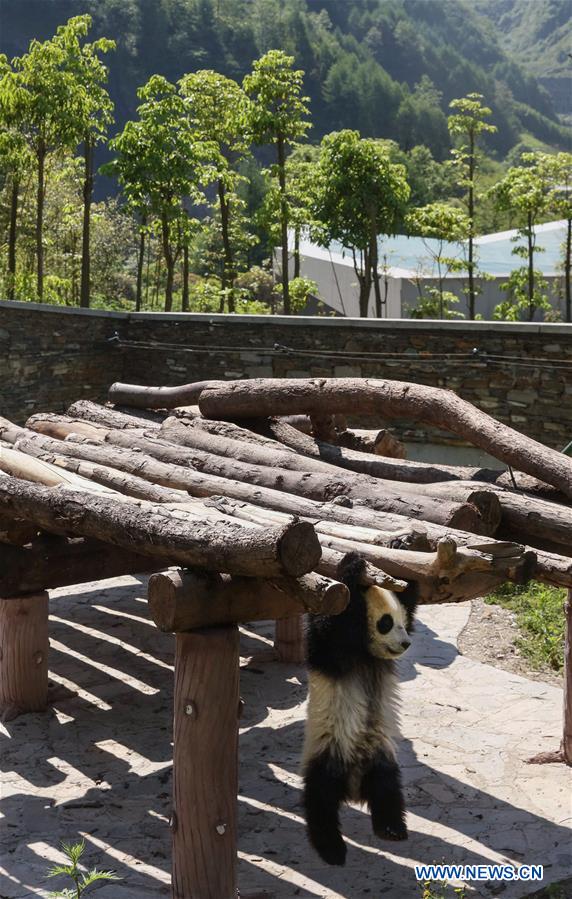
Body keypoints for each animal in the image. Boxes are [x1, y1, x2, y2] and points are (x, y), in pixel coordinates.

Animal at [301, 552, 417, 866]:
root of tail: (353, 788)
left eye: (403, 622)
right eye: (386, 623)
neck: (365, 653)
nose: (406, 643)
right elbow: (325, 624)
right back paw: (331, 848)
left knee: (388, 789)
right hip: (328, 751)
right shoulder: (332, 652)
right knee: (320, 798)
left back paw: (391, 829)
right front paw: (352, 564)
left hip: (380, 756)